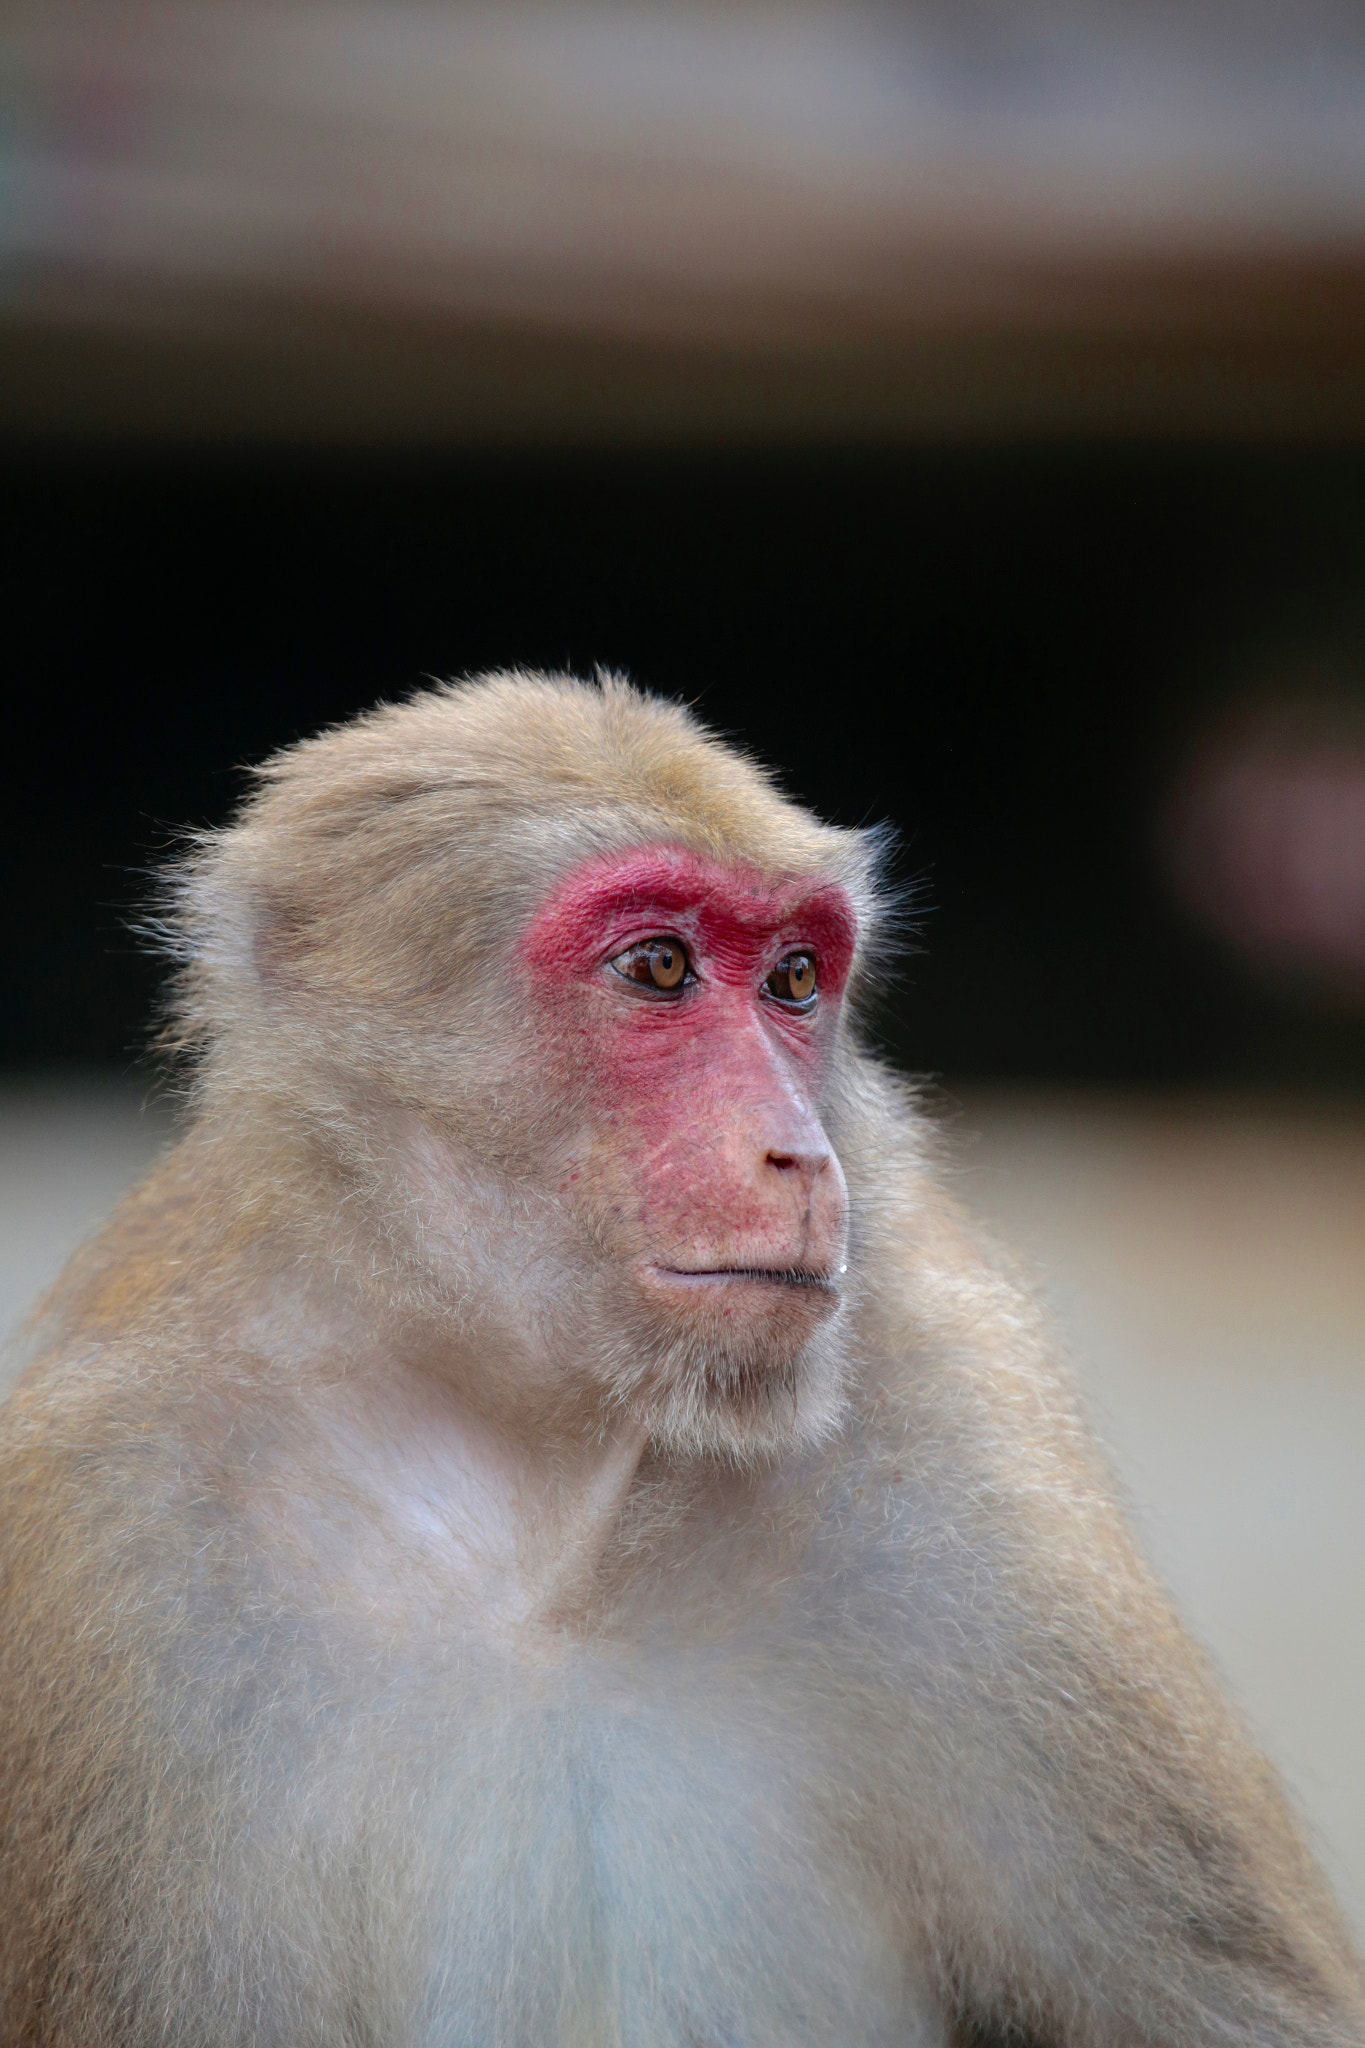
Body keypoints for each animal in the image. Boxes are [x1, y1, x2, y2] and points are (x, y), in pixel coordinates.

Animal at [0, 671, 1361, 2048]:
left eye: (796, 977)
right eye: (659, 965)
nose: (800, 1151)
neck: (538, 1493)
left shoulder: (958, 1423)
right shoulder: (106, 1538)